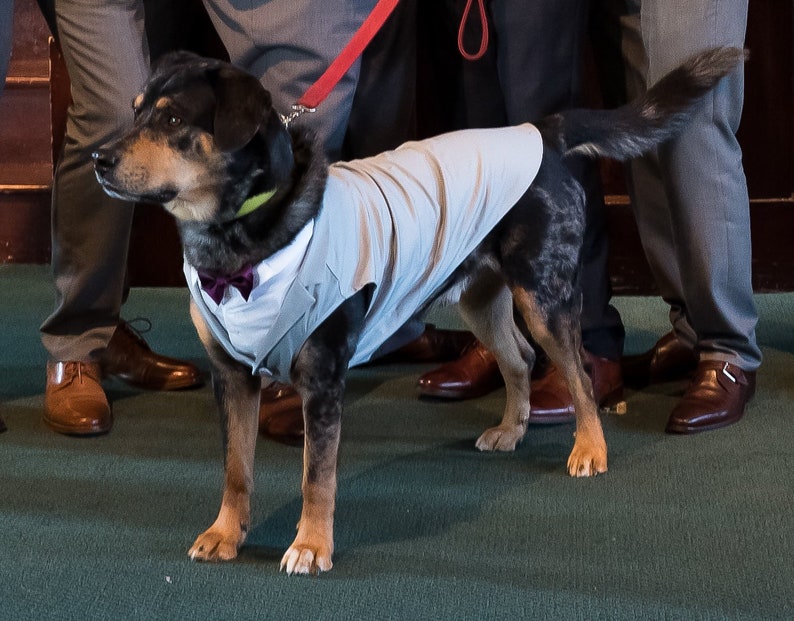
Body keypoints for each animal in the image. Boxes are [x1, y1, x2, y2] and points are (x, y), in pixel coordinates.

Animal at [93, 46, 744, 572]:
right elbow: (236, 469)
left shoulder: (322, 381)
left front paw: (312, 545)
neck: (240, 246)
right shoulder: (230, 377)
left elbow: (316, 476)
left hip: (544, 293)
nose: (98, 158)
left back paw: (590, 449)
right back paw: (512, 428)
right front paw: (226, 534)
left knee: (579, 373)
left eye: (172, 119)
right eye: (136, 109)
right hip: (481, 298)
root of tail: (539, 129)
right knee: (518, 360)